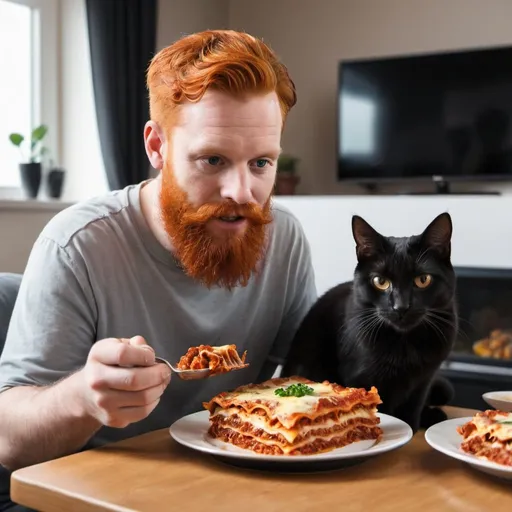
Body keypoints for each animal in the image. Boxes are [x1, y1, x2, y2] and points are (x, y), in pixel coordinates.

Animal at [282, 212, 458, 432]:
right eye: (380, 282)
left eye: (423, 280)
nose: (401, 307)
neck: (404, 346)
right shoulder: (362, 378)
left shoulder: (423, 382)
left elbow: (411, 414)